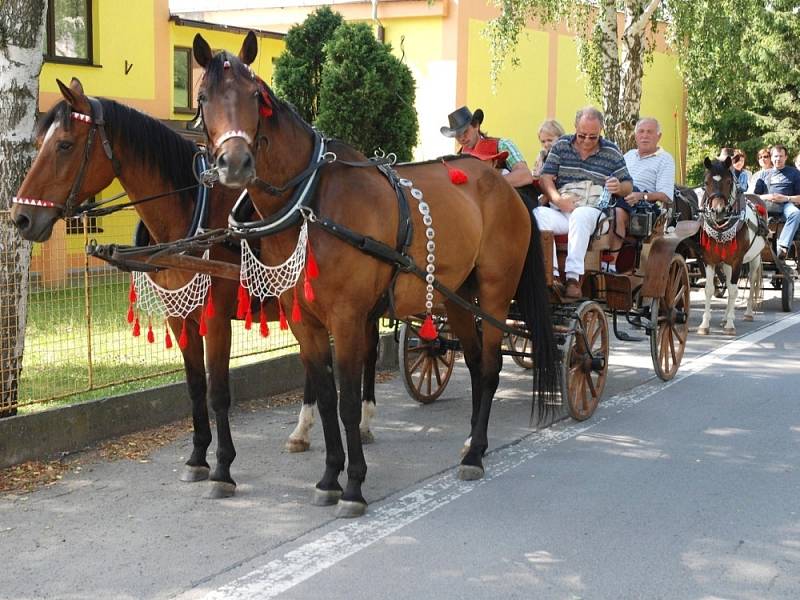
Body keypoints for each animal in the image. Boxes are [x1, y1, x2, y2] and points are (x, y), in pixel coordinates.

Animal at [7, 78, 380, 496]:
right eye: (39, 143)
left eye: (65, 145)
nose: (20, 218)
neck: (190, 214)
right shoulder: (178, 316)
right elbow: (195, 387)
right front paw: (198, 457)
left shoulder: (215, 319)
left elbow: (218, 392)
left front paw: (223, 467)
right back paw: (302, 431)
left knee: (367, 351)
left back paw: (365, 421)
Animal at [191, 32, 560, 516]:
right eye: (203, 98)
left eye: (255, 97)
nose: (234, 164)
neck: (312, 202)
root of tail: (508, 185)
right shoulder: (305, 320)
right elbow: (325, 396)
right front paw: (329, 476)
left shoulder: (348, 318)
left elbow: (348, 403)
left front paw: (353, 485)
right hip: (458, 296)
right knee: (478, 362)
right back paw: (469, 444)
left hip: (496, 293)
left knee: (493, 365)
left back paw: (476, 454)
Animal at [696, 157, 764, 336]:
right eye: (706, 182)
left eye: (728, 181)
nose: (718, 210)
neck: (721, 226)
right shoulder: (709, 260)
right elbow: (709, 289)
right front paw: (704, 324)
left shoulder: (737, 261)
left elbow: (734, 290)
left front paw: (730, 325)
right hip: (726, 262)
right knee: (727, 281)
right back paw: (724, 317)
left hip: (754, 258)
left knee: (752, 281)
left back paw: (747, 314)